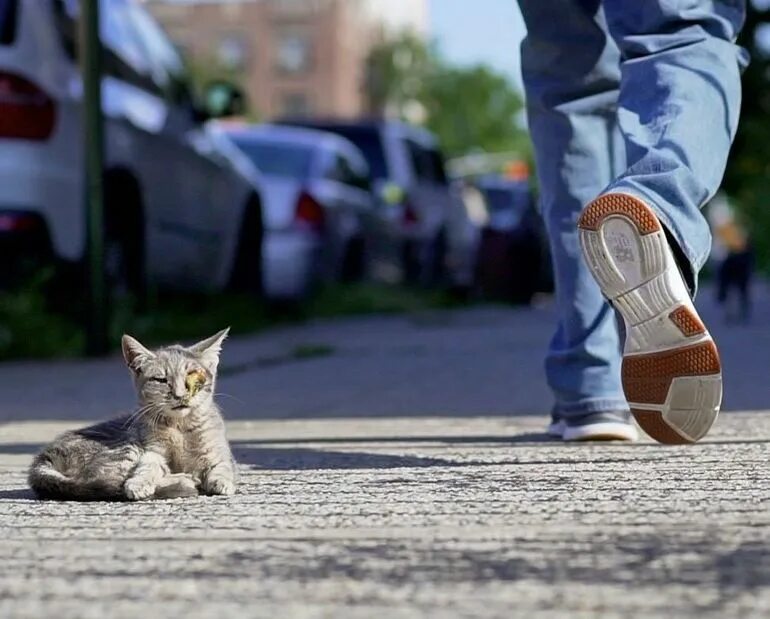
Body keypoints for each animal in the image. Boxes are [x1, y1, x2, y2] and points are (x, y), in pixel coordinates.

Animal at [27, 330, 234, 504]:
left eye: (190, 376)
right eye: (161, 380)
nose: (180, 395)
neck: (179, 427)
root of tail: (44, 457)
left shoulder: (219, 453)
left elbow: (222, 467)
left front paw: (222, 481)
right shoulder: (151, 451)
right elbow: (147, 468)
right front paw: (139, 483)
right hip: (126, 448)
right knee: (106, 481)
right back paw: (185, 480)